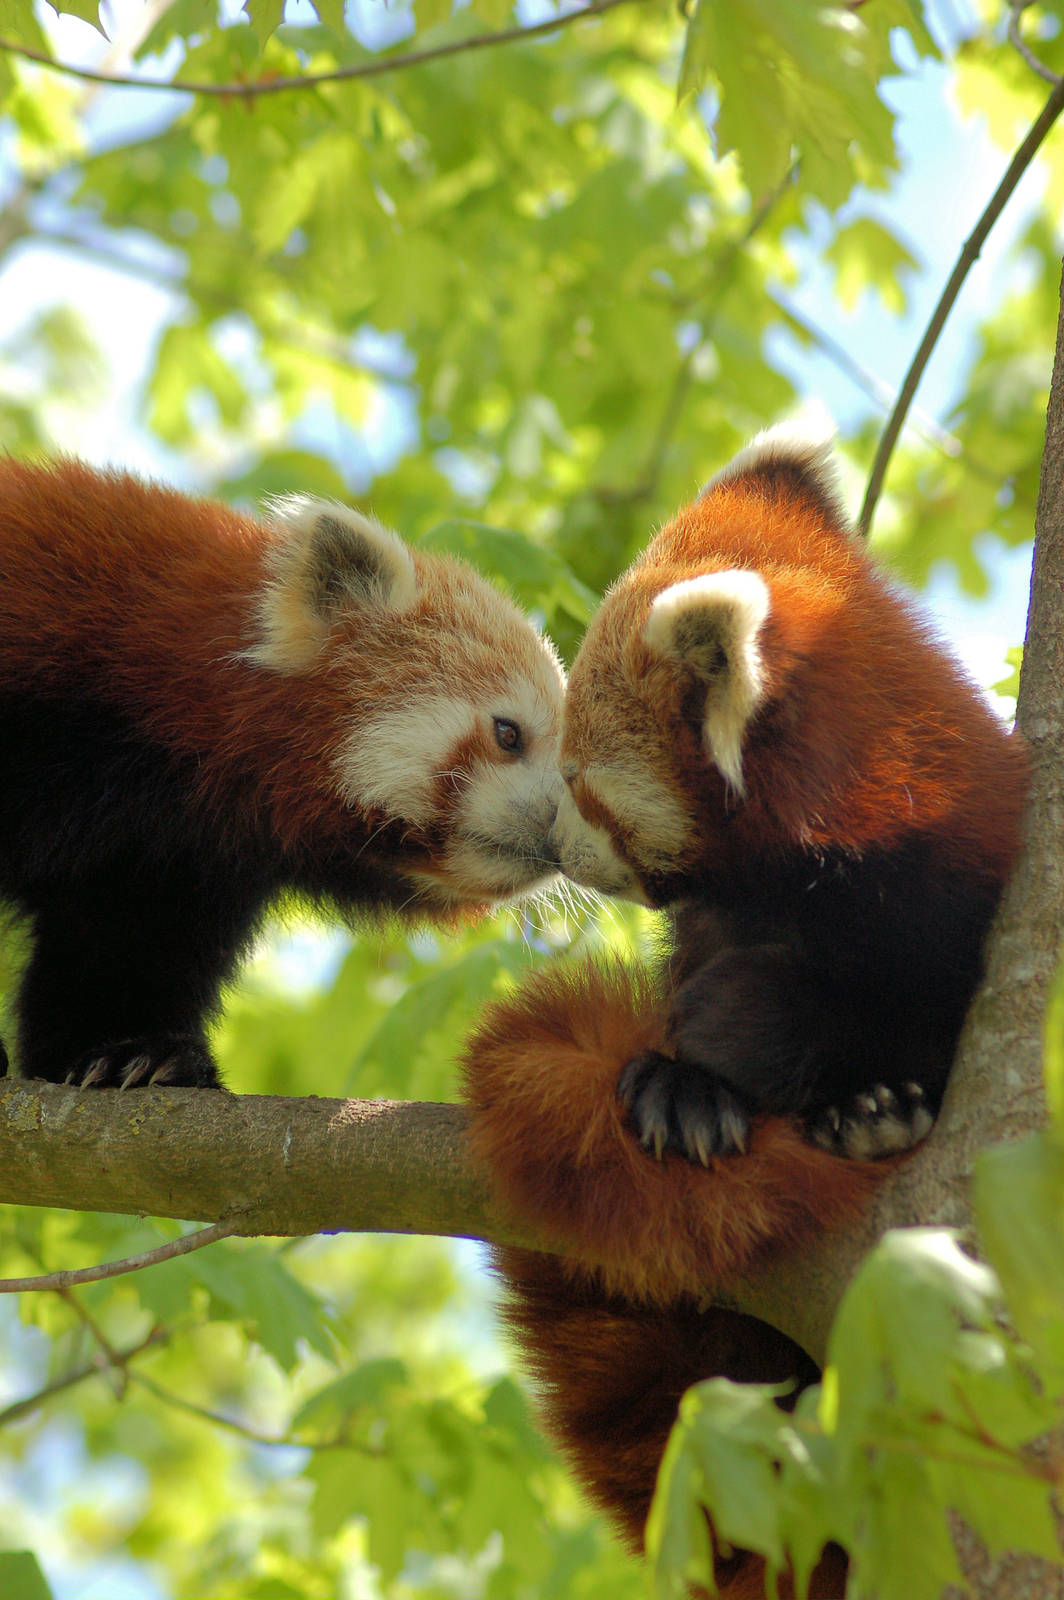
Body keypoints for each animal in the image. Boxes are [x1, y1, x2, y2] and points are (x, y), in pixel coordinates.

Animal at [464, 425, 1028, 1596]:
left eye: (579, 781)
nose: (549, 842)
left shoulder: (952, 903)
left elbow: (858, 1005)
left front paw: (809, 1078)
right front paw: (687, 1080)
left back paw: (874, 1118)